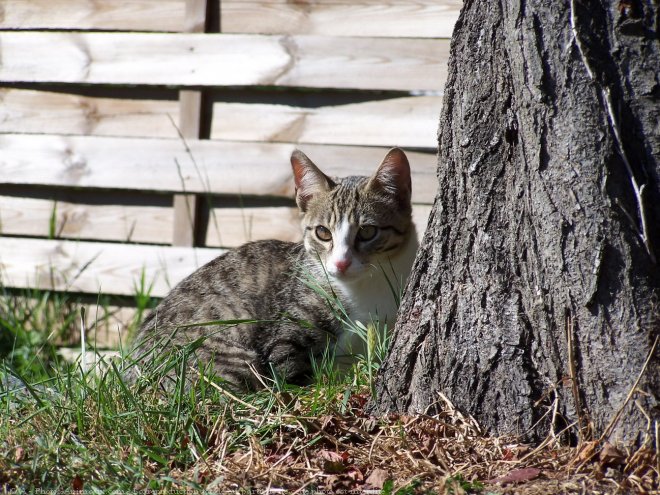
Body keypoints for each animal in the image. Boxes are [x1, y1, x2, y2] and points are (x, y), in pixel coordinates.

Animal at [129, 147, 418, 392]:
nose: (341, 263)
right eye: (323, 233)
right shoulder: (284, 337)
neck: (366, 288)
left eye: (367, 231)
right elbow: (290, 374)